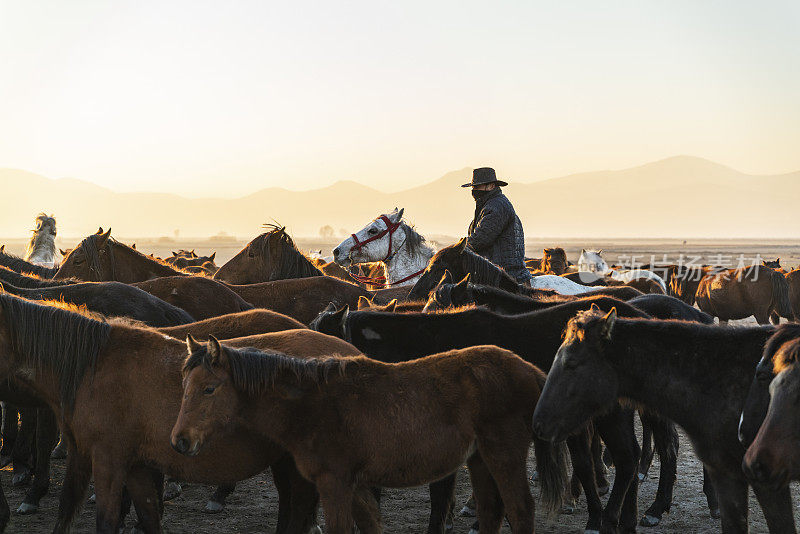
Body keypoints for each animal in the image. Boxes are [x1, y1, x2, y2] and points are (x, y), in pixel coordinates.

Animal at [175, 342, 572, 534]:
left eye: (209, 388)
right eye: (184, 386)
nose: (180, 441)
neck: (312, 404)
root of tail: (532, 371)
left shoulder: (334, 482)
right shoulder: (355, 485)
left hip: (503, 455)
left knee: (521, 511)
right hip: (479, 459)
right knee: (491, 512)